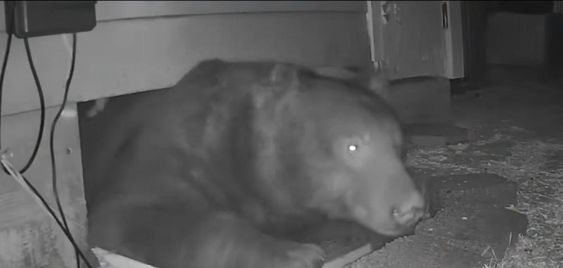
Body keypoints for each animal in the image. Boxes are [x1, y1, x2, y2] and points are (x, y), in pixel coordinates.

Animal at [83, 59, 426, 268]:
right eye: (352, 145)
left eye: (400, 148)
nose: (410, 207)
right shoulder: (170, 151)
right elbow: (128, 213)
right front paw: (295, 253)